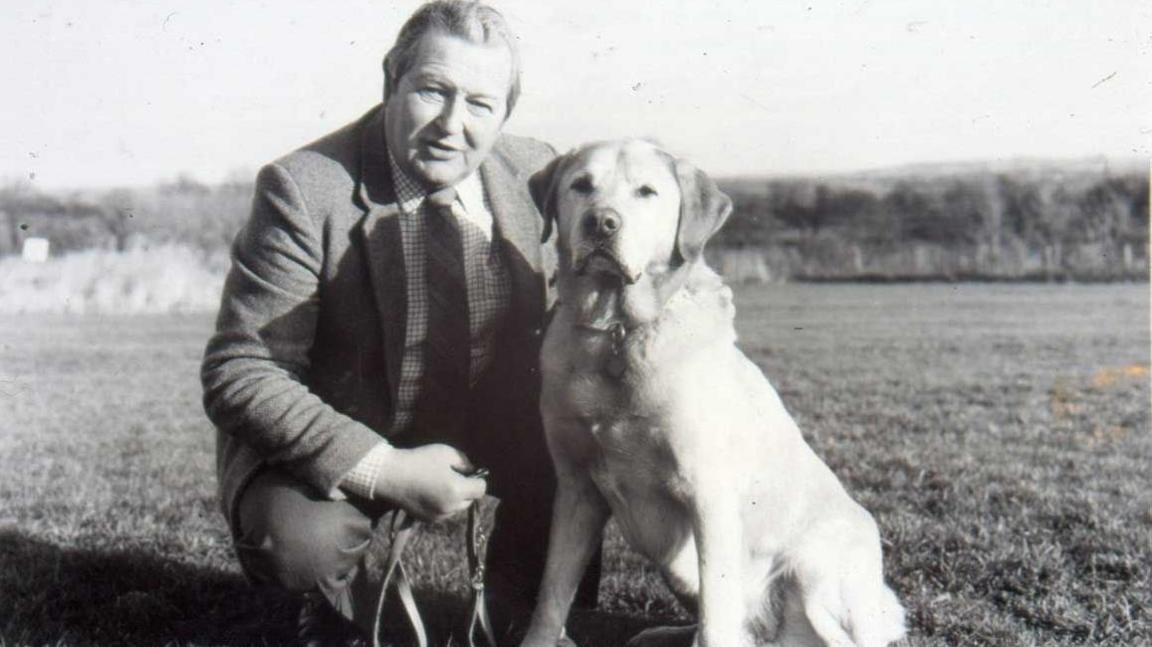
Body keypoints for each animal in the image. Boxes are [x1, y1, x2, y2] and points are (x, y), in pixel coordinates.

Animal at [518, 138, 903, 640]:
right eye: (581, 185)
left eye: (647, 192)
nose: (601, 223)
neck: (618, 330)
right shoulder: (576, 490)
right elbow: (551, 596)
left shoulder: (709, 496)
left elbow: (716, 617)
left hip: (814, 570)